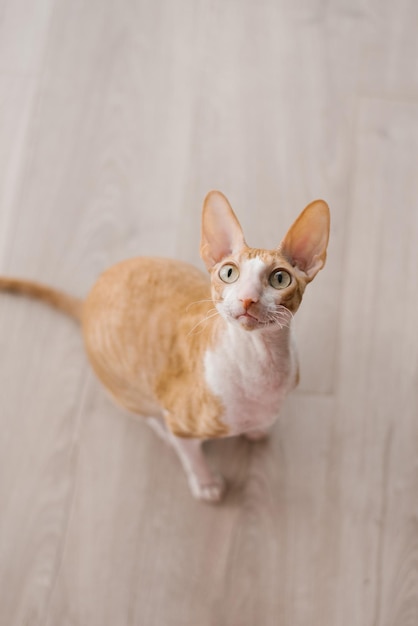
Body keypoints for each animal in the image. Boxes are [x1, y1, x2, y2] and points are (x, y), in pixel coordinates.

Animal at [0, 190, 330, 502]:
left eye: (279, 279)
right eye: (229, 273)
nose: (247, 298)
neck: (262, 364)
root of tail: (88, 300)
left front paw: (258, 429)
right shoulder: (181, 420)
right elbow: (191, 454)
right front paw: (206, 484)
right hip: (128, 391)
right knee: (149, 415)